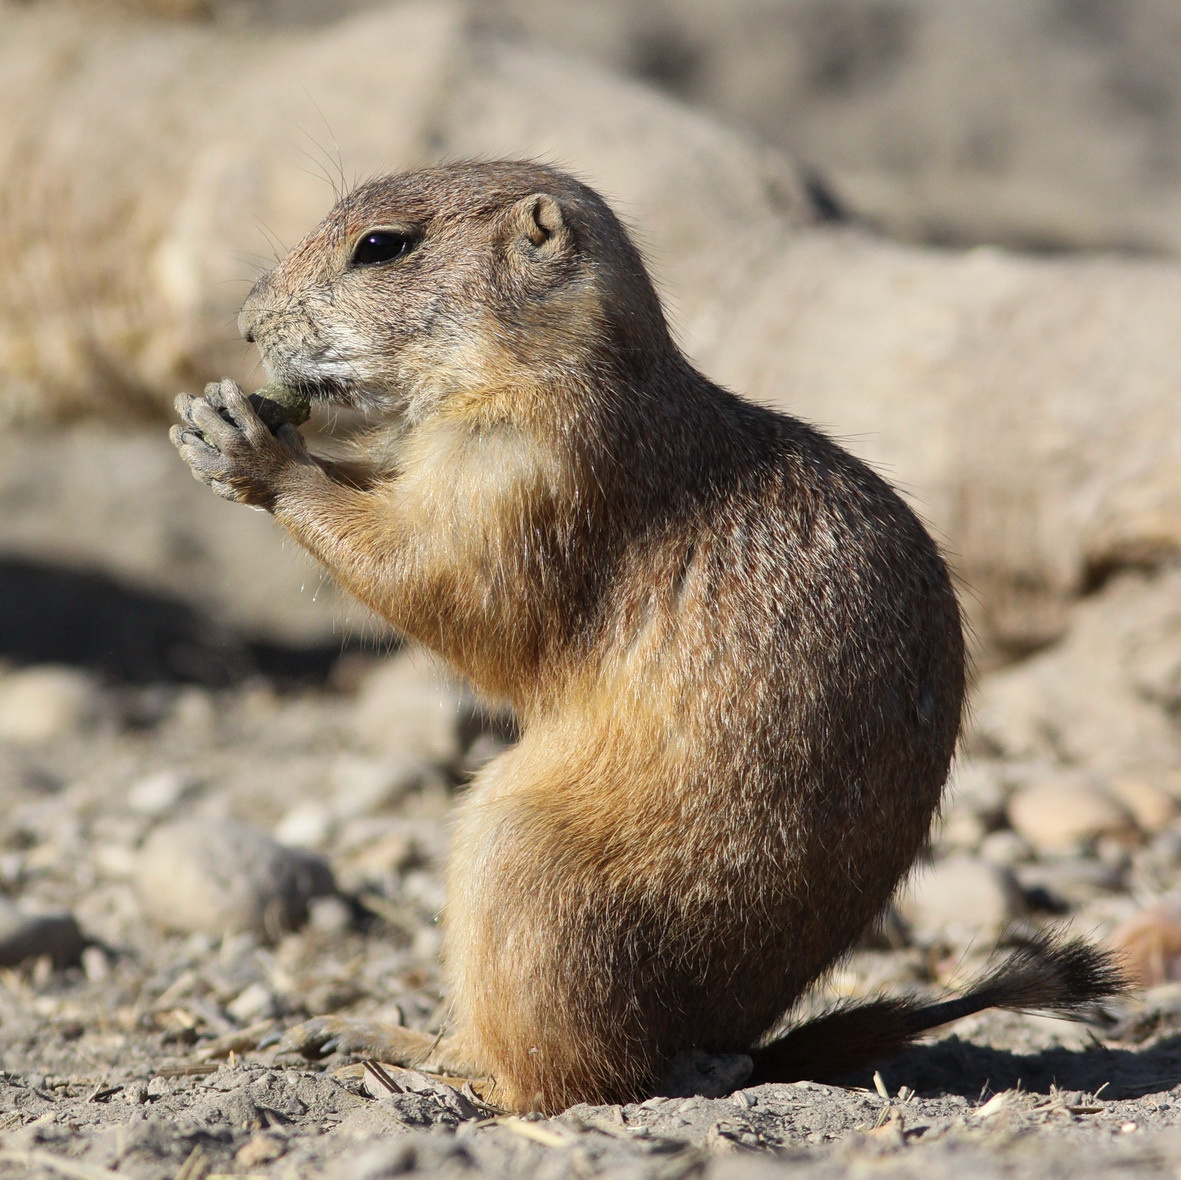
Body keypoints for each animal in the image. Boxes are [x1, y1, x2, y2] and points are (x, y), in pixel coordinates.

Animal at [168, 159, 1124, 1115]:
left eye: (381, 246)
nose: (244, 322)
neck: (550, 368)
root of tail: (730, 1042)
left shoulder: (528, 474)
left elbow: (444, 581)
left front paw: (252, 448)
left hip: (520, 860)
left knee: (563, 1080)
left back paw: (413, 1060)